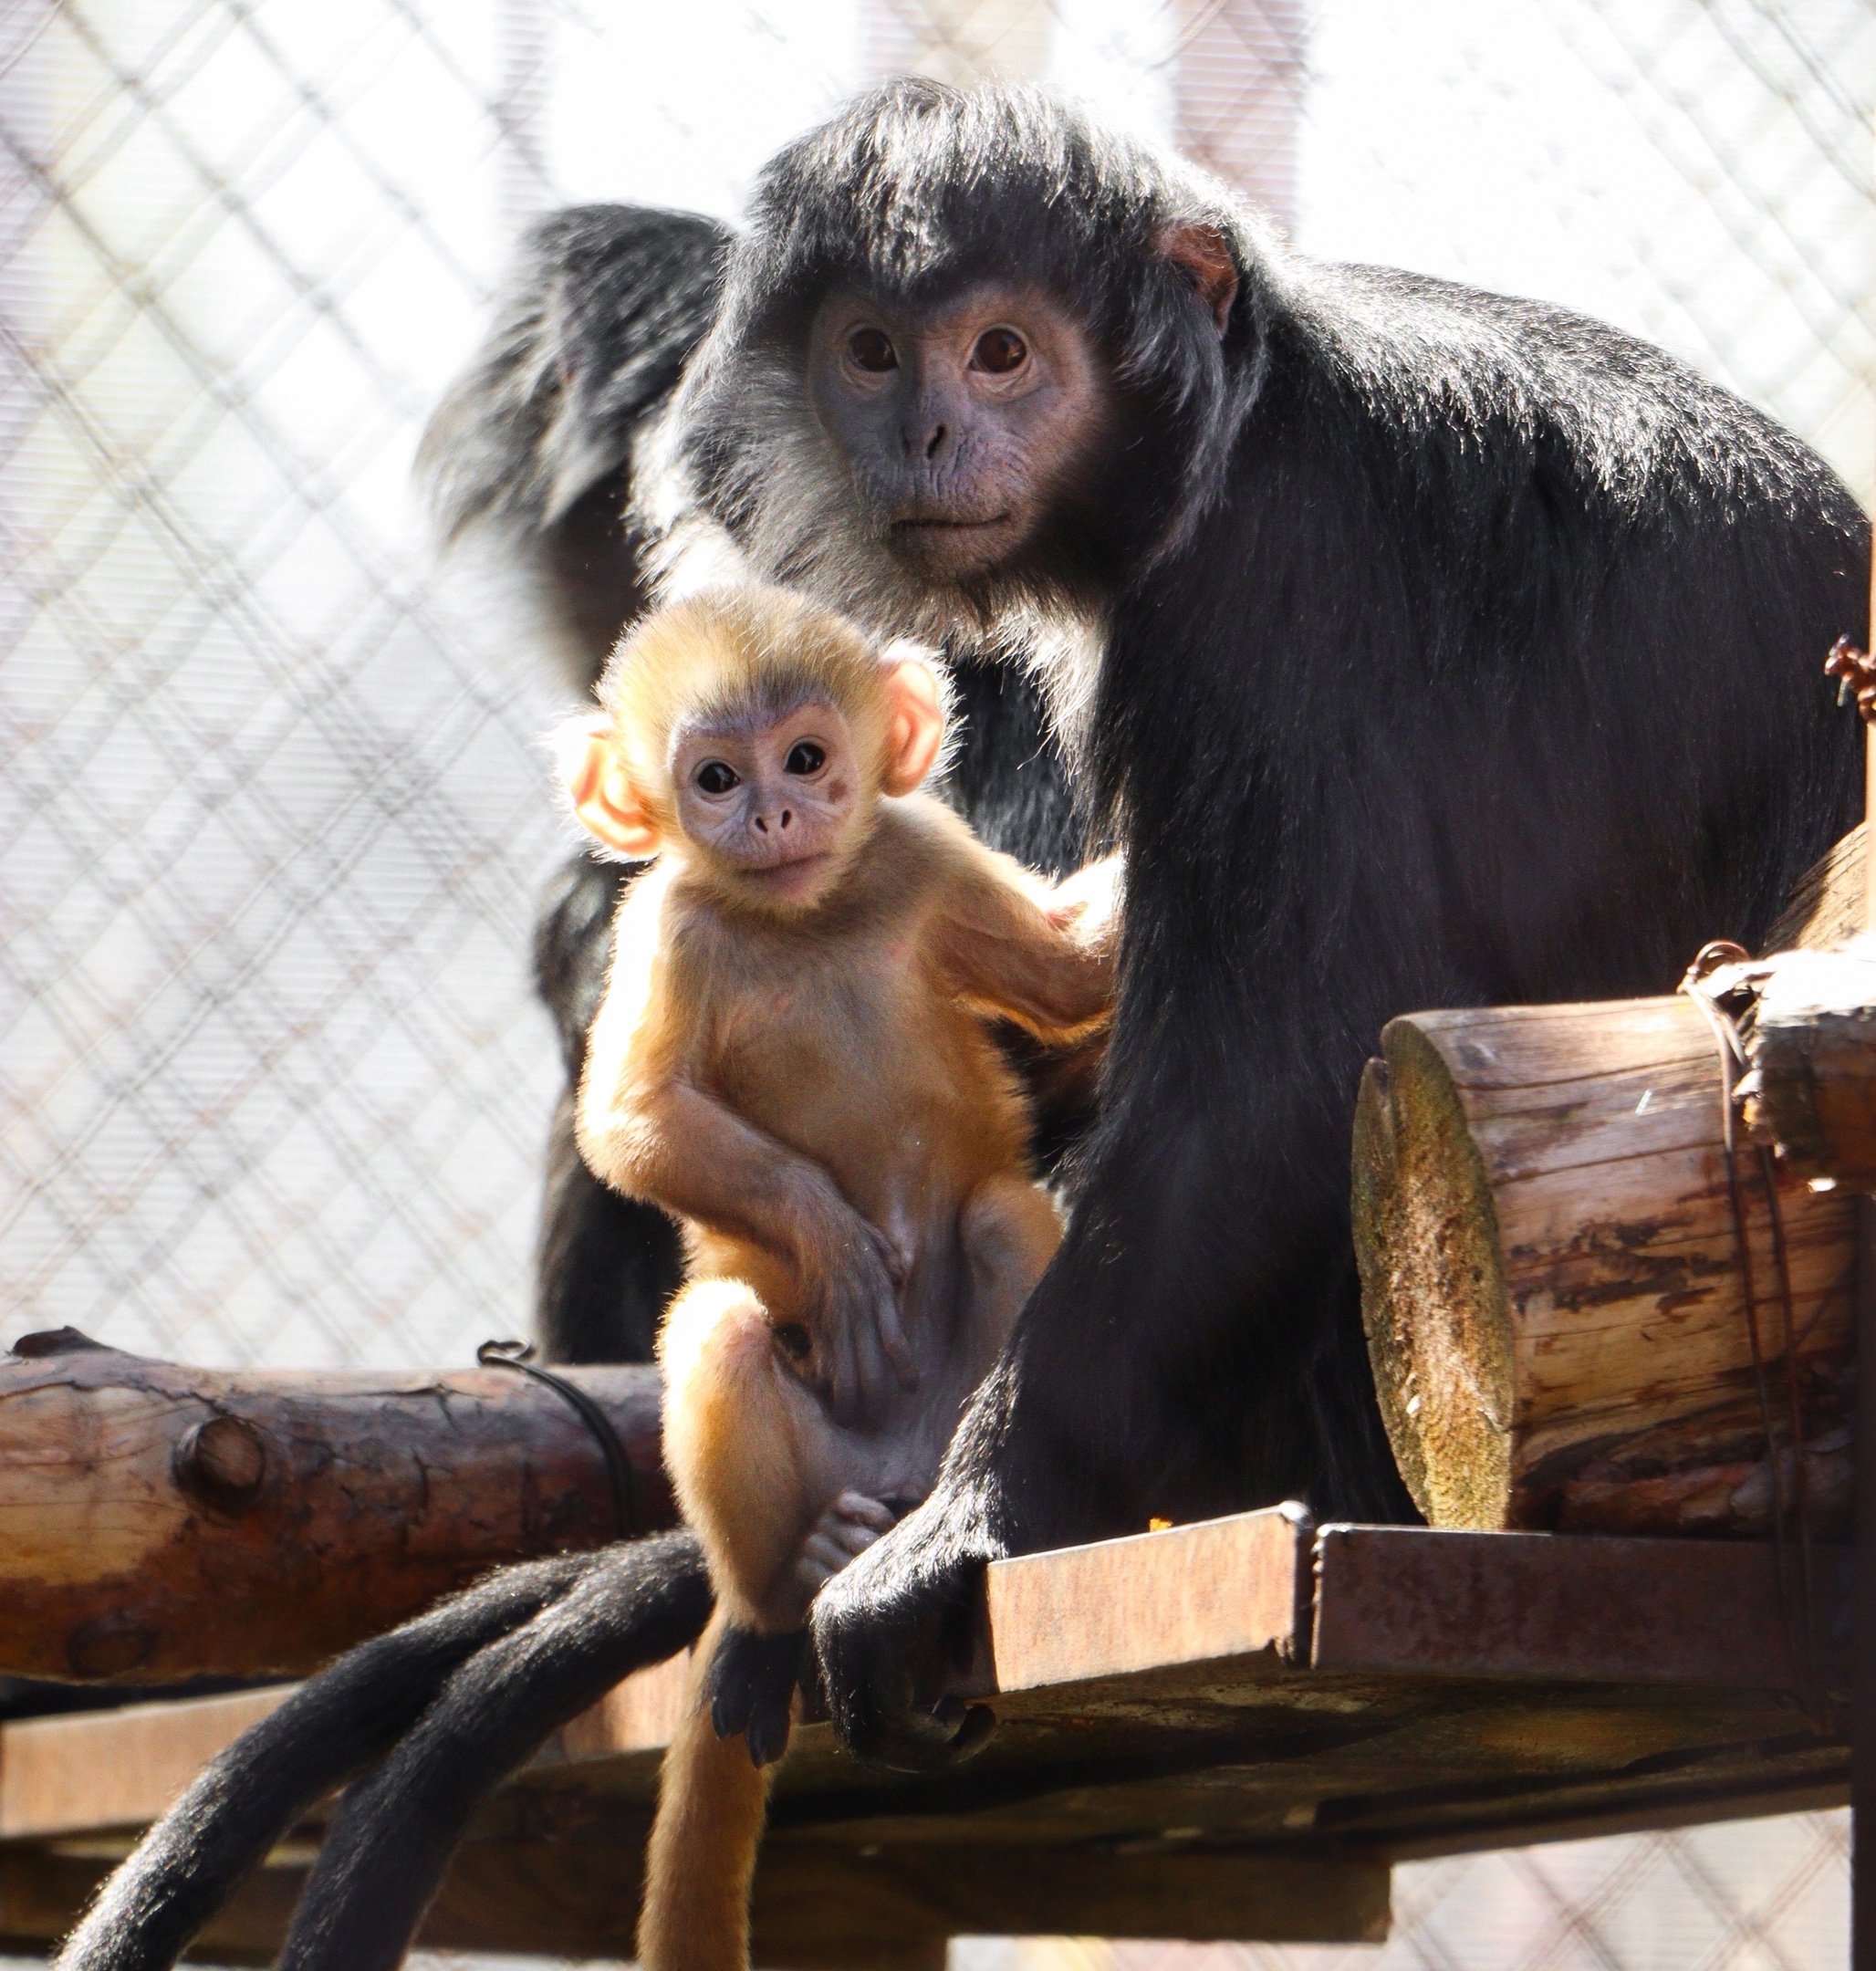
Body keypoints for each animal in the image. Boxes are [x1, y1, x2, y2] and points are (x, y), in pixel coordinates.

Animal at [556, 583, 1111, 1971]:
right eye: (713, 777)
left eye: (806, 757)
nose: (773, 815)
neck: (805, 918)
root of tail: (891, 1469)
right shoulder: (670, 924)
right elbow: (632, 1123)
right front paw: (840, 1252)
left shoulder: (922, 852)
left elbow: (1071, 977)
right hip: (805, 1465)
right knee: (720, 1330)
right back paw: (783, 1595)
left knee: (998, 1218)